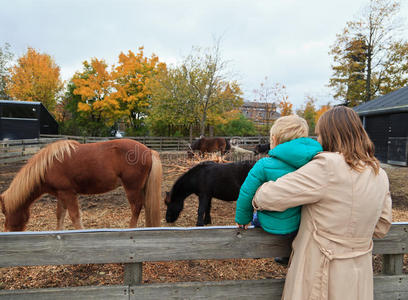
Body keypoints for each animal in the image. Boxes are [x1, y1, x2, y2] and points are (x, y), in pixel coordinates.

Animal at [0, 139, 163, 232]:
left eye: (4, 212)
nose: (8, 231)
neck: (47, 166)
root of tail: (149, 150)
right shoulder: (61, 195)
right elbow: (60, 215)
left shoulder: (68, 194)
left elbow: (74, 217)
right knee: (146, 205)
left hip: (131, 188)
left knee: (136, 208)